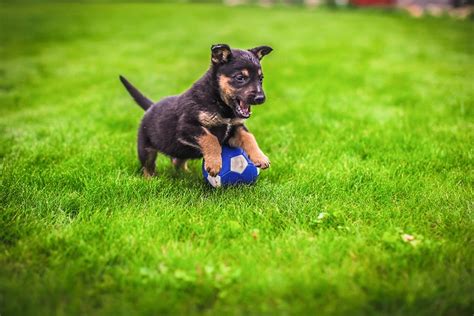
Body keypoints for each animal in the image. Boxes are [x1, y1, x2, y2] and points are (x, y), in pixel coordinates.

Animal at [118, 43, 272, 178]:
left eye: (261, 79)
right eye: (240, 78)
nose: (261, 98)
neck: (218, 101)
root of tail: (151, 106)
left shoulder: (234, 128)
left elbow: (249, 137)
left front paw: (260, 157)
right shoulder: (187, 126)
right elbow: (211, 139)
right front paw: (214, 164)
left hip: (180, 150)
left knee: (177, 161)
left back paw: (186, 174)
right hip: (145, 148)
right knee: (147, 166)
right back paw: (150, 180)